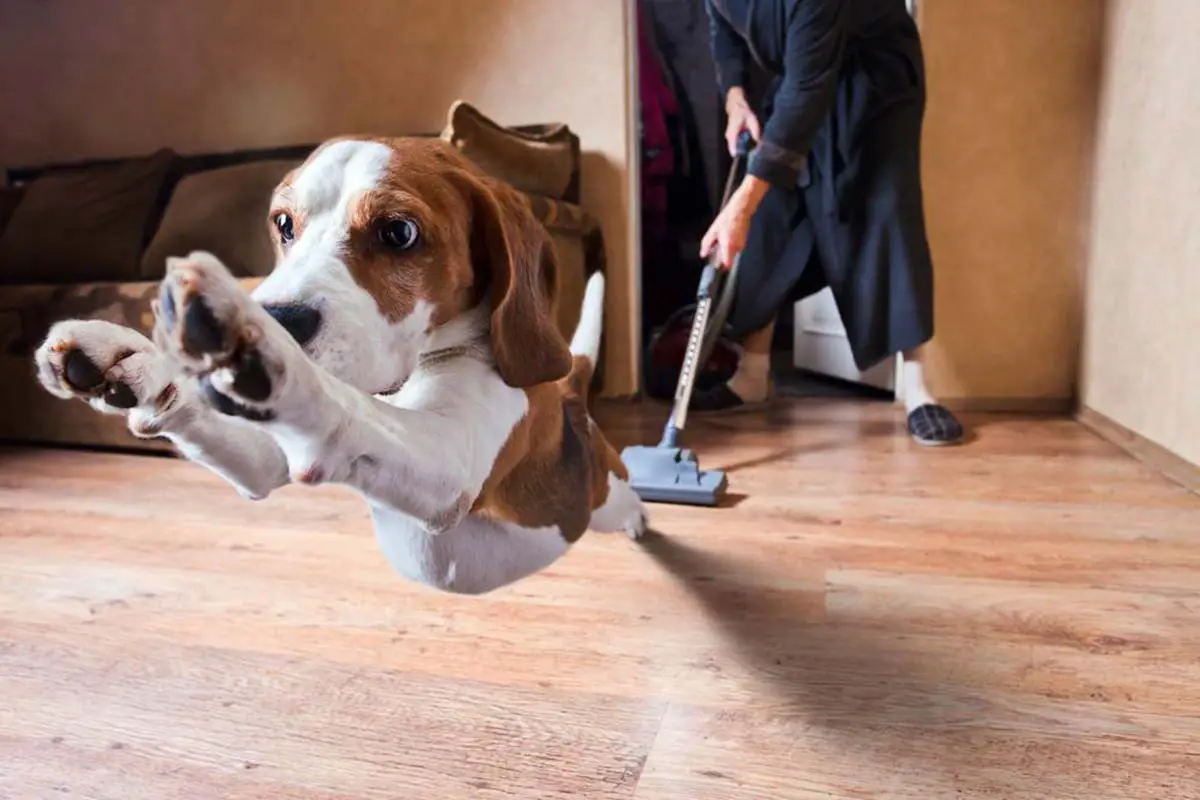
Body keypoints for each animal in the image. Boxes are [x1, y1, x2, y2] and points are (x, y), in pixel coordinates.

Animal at [32, 137, 648, 597]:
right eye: (284, 224)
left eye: (399, 232)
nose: (275, 315)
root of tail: (570, 394)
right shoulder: (267, 460)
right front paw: (134, 360)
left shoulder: (449, 459)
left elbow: (340, 404)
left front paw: (259, 349)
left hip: (605, 495)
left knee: (627, 499)